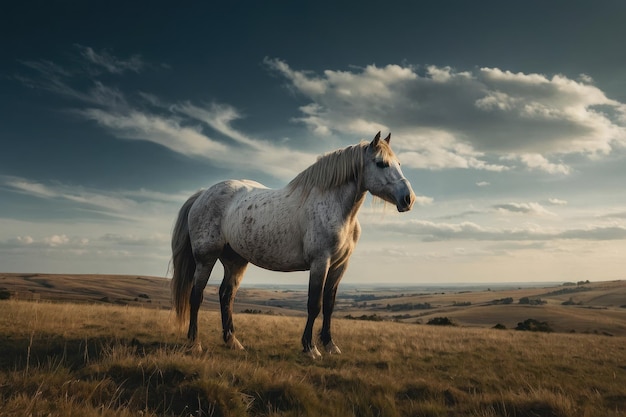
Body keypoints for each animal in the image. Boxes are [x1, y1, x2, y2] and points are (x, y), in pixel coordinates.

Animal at [171, 131, 414, 358]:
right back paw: (195, 343)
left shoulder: (339, 265)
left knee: (226, 296)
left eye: (399, 164)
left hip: (236, 261)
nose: (408, 199)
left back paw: (233, 342)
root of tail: (203, 193)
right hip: (206, 258)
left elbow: (329, 305)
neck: (335, 208)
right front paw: (310, 348)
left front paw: (330, 345)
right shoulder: (320, 262)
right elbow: (314, 304)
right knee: (197, 296)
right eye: (381, 163)